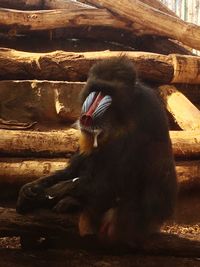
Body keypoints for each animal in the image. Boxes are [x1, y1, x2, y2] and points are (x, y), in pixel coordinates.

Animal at [16, 56, 177, 247]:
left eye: (108, 92)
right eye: (95, 90)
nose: (87, 116)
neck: (119, 117)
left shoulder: (147, 114)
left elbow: (111, 181)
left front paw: (41, 195)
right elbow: (73, 169)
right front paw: (30, 189)